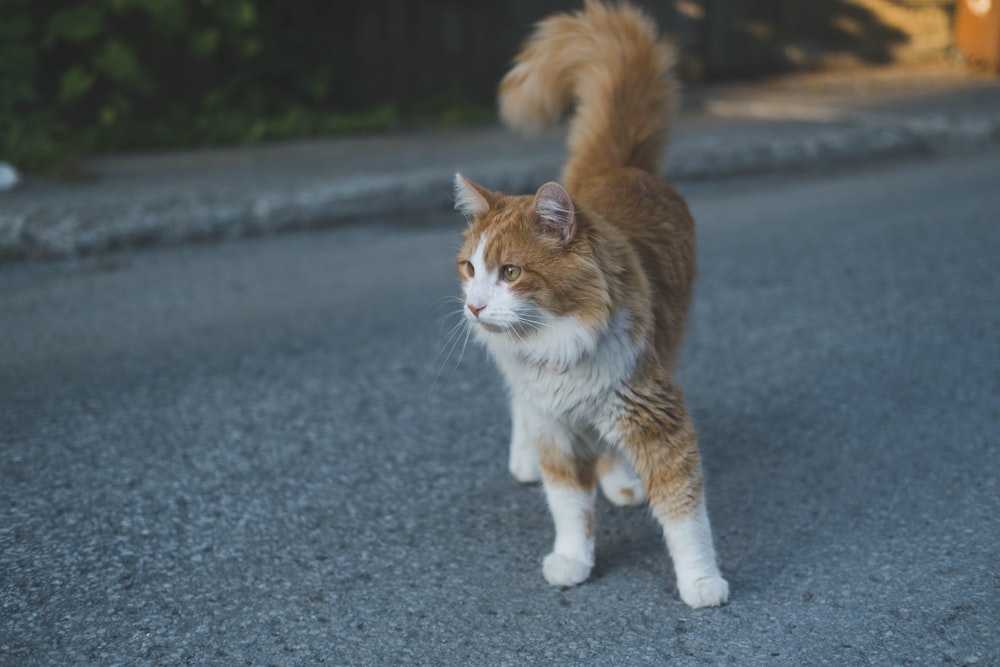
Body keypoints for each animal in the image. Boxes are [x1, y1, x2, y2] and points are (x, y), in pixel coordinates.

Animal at [454, 0, 728, 612]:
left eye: (511, 273)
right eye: (470, 270)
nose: (476, 307)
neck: (559, 341)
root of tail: (616, 168)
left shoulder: (653, 413)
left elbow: (684, 513)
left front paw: (700, 582)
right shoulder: (555, 427)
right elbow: (569, 507)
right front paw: (573, 560)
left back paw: (621, 478)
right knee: (521, 408)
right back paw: (526, 457)